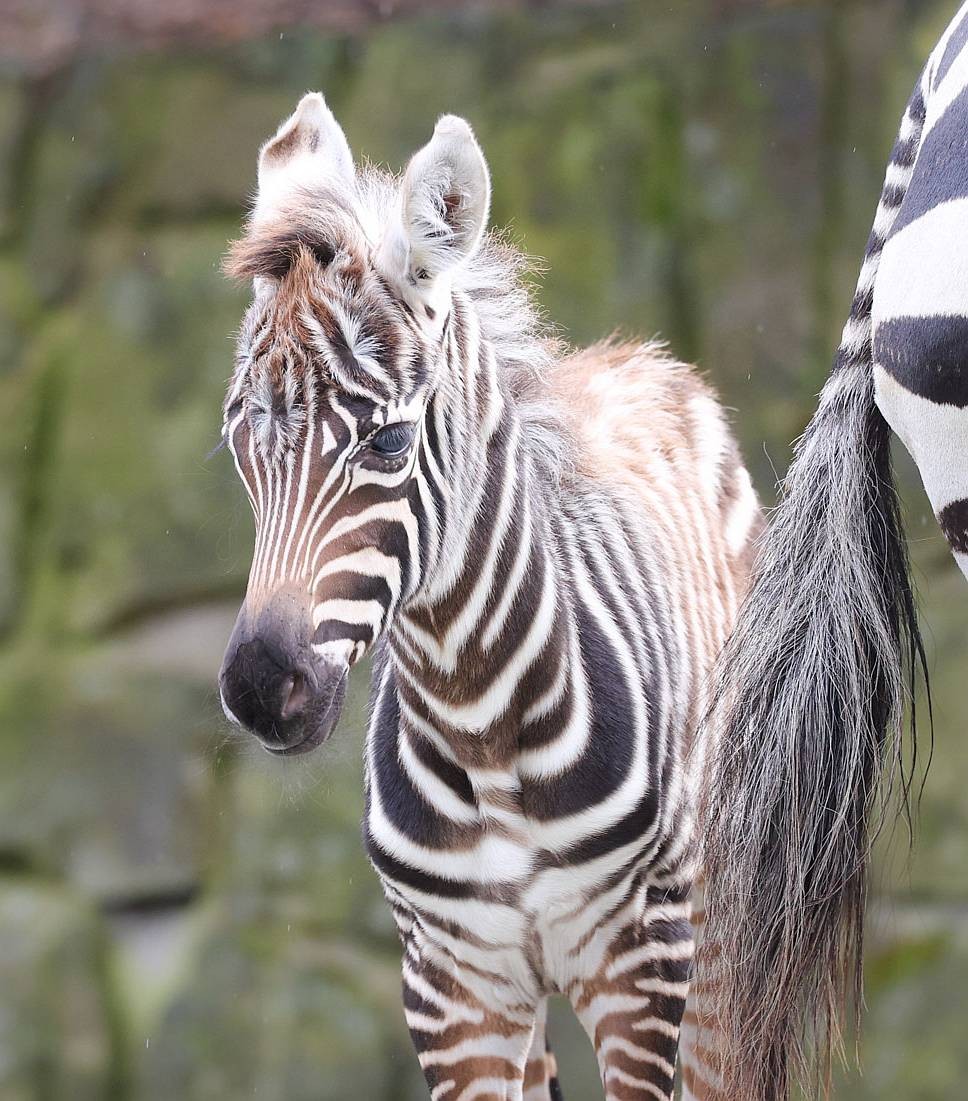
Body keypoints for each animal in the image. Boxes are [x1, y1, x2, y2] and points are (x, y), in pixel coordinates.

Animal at [216, 92, 760, 1100]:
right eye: (242, 443)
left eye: (389, 444)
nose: (263, 688)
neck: (476, 715)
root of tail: (645, 356)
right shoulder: (453, 986)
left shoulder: (642, 965)